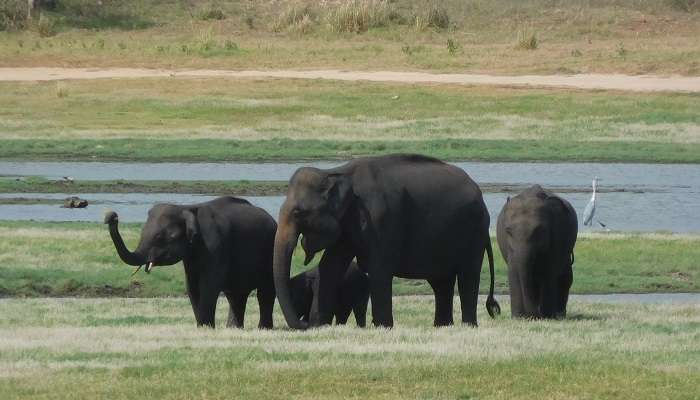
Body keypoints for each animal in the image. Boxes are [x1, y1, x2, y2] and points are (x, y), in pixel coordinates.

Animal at [105, 196, 278, 328]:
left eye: (160, 237)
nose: (112, 217)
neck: (186, 208)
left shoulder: (216, 246)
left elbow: (209, 285)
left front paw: (207, 327)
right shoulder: (190, 256)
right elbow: (192, 287)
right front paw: (201, 327)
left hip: (270, 251)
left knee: (265, 292)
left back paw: (263, 328)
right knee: (236, 295)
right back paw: (234, 328)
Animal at [272, 153, 498, 328]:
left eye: (298, 212)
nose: (304, 323)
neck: (335, 172)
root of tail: (480, 195)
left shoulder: (381, 219)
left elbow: (379, 269)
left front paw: (383, 327)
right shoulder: (347, 223)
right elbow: (330, 267)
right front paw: (320, 326)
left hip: (474, 232)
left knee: (467, 276)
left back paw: (468, 326)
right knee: (442, 282)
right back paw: (442, 326)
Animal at [498, 184, 580, 318]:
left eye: (539, 231)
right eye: (508, 231)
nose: (534, 314)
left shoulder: (557, 237)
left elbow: (548, 271)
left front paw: (547, 316)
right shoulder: (508, 246)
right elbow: (513, 270)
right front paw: (518, 317)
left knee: (564, 276)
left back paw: (558, 313)